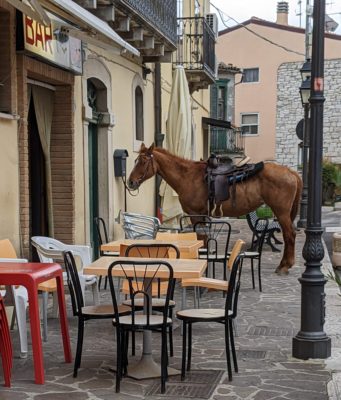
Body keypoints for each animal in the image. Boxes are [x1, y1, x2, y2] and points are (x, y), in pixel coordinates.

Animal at [127, 144, 300, 276]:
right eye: (135, 160)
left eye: (143, 161)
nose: (130, 182)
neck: (187, 176)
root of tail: (290, 172)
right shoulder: (202, 216)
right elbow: (203, 240)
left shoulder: (196, 214)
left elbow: (200, 239)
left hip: (281, 212)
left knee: (289, 235)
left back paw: (285, 265)